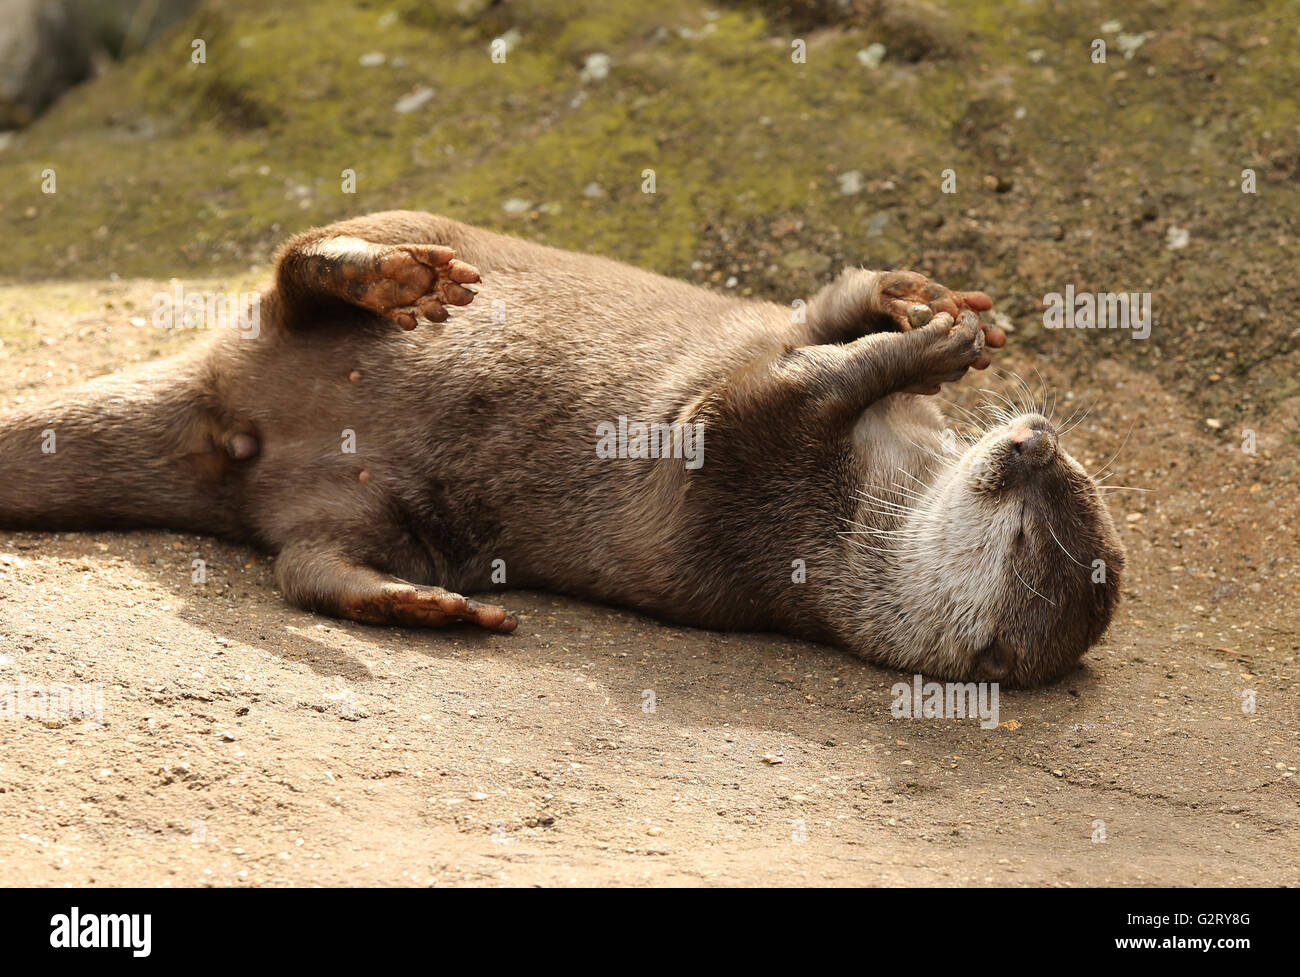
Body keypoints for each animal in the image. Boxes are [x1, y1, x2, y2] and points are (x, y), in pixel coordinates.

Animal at [0, 211, 1118, 685]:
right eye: (1074, 483)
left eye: (1030, 534)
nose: (1033, 439)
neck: (868, 494)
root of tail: (223, 394)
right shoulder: (780, 369)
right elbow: (825, 319)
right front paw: (929, 311)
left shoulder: (747, 468)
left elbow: (788, 386)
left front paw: (928, 341)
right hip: (343, 264)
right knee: (295, 261)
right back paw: (395, 278)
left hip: (370, 512)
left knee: (304, 568)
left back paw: (419, 605)